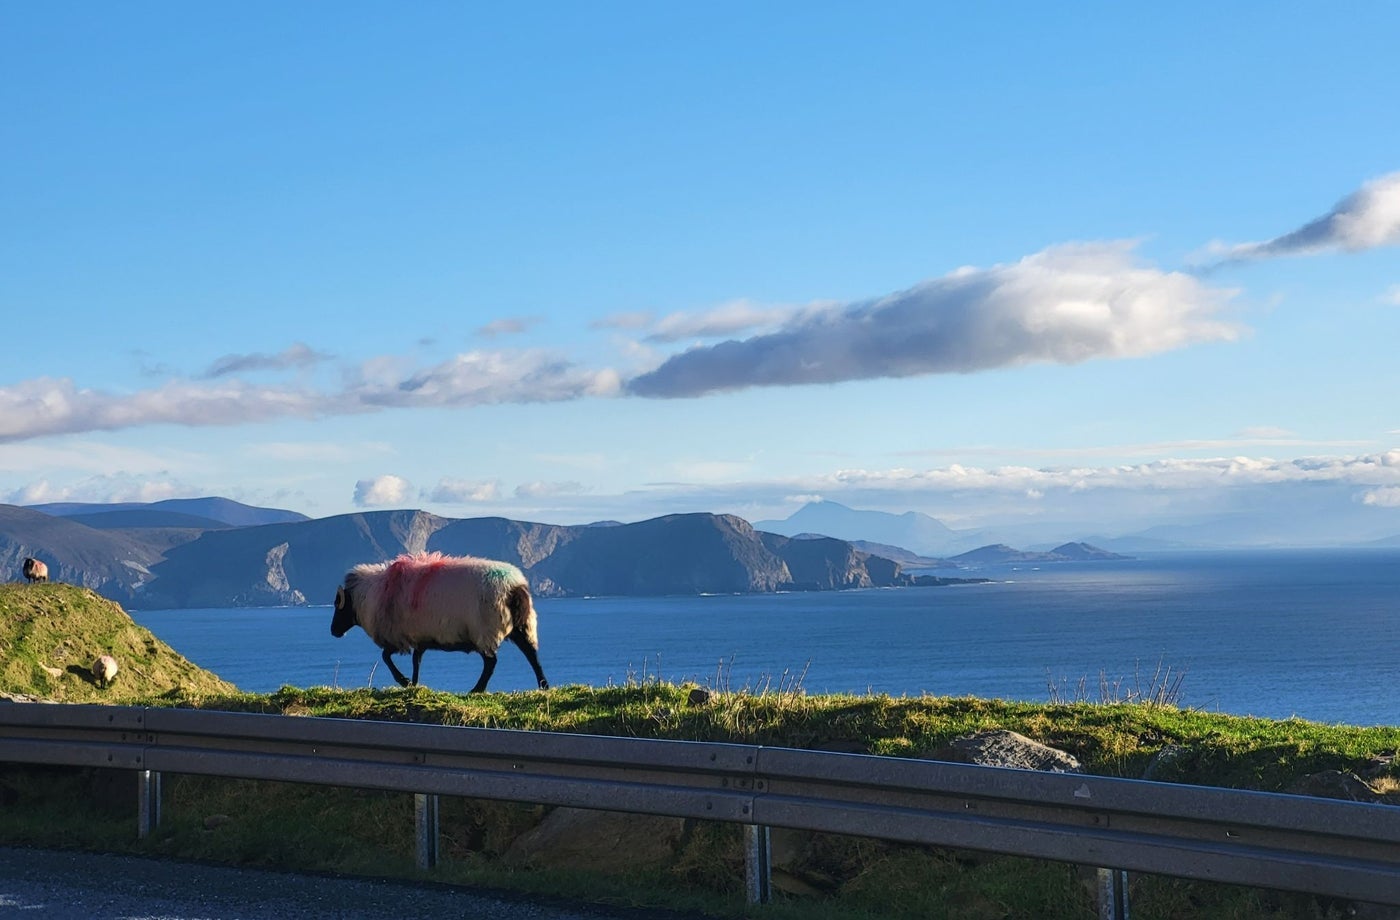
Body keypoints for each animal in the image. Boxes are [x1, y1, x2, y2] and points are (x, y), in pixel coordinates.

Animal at [331, 551, 548, 693]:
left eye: (338, 605)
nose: (333, 631)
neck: (370, 596)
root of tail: (515, 587)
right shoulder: (418, 637)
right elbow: (416, 661)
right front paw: (414, 684)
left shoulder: (397, 636)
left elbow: (386, 657)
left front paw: (404, 681)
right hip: (523, 626)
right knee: (531, 655)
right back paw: (543, 685)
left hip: (485, 630)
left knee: (491, 662)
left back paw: (477, 689)